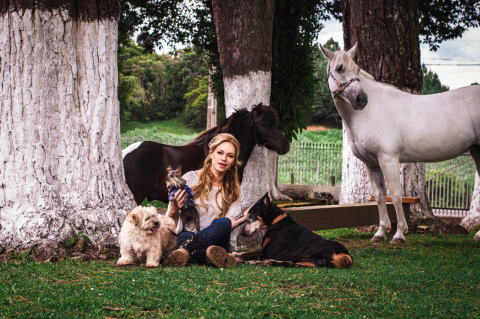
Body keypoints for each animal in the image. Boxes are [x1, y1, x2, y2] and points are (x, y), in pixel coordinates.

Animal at [318, 44, 480, 245]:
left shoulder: (389, 159)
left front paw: (399, 234)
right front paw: (380, 232)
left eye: (357, 69)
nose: (361, 99)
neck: (369, 112)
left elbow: (395, 195)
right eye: (339, 68)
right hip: (477, 150)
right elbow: (380, 196)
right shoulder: (371, 164)